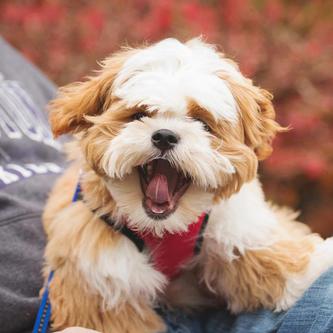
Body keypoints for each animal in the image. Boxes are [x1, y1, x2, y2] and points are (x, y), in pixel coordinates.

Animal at [42, 37, 332, 332]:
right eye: (139, 115)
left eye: (202, 122)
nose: (164, 136)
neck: (165, 228)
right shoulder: (100, 272)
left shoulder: (234, 224)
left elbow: (263, 257)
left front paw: (319, 260)